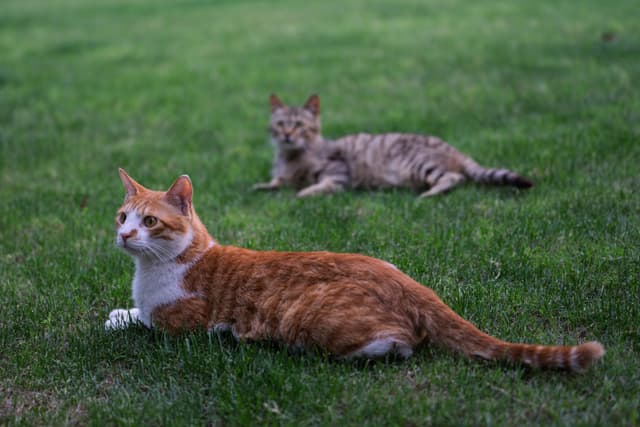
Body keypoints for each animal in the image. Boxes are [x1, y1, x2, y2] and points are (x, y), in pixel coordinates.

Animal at [109, 169, 604, 372]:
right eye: (121, 216)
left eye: (149, 222)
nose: (125, 235)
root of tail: (411, 286)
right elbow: (134, 311)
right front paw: (120, 310)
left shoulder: (180, 325)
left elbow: (144, 318)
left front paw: (119, 317)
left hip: (312, 319)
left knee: (402, 343)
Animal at [252, 94, 532, 198]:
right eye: (280, 124)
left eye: (299, 125)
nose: (287, 134)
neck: (290, 157)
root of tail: (455, 150)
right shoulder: (283, 175)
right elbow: (277, 181)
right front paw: (263, 185)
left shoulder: (339, 171)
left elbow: (321, 185)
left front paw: (304, 192)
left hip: (420, 164)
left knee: (454, 177)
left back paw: (428, 194)